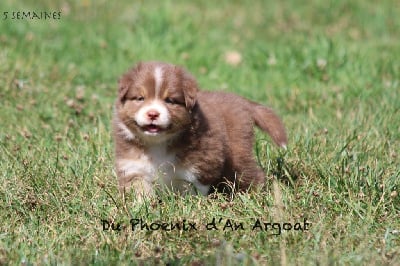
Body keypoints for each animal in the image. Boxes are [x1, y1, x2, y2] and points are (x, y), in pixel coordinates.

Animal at [112, 61, 288, 200]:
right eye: (140, 98)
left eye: (169, 100)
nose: (153, 114)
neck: (158, 144)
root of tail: (241, 101)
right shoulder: (133, 167)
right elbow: (140, 191)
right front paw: (141, 207)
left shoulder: (201, 165)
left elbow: (193, 188)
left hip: (238, 155)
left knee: (252, 174)